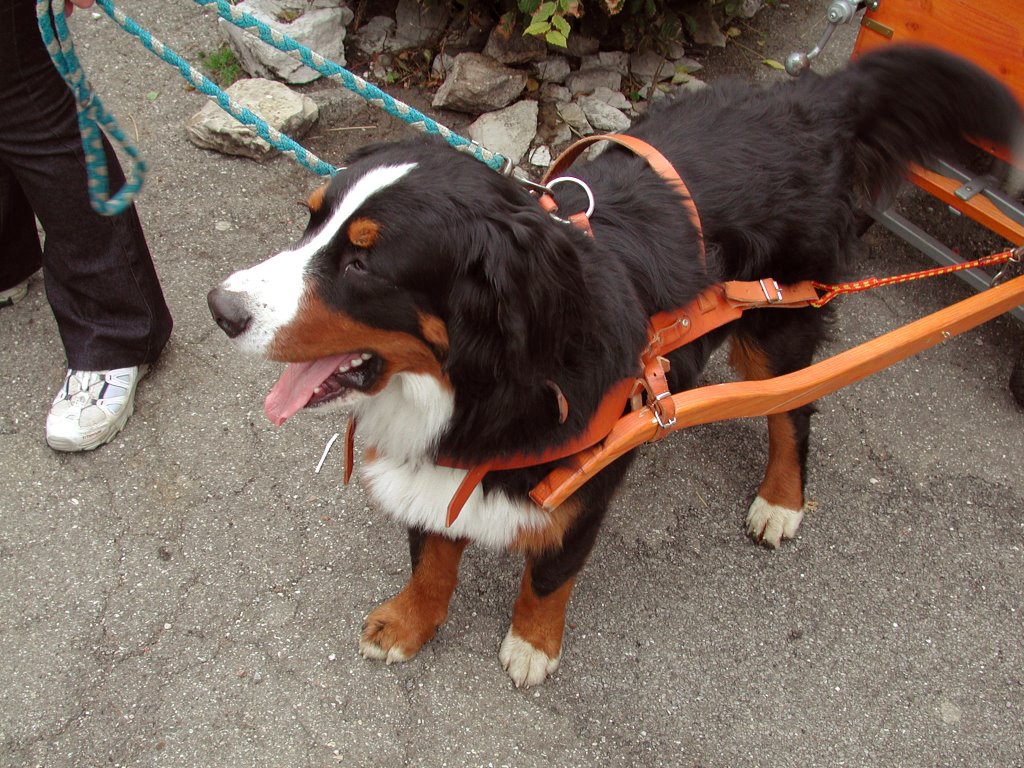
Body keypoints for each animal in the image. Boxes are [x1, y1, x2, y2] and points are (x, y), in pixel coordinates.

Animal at [205, 45, 1015, 688]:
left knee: (793, 411)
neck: (477, 382)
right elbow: (431, 554)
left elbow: (548, 576)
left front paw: (532, 646)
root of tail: (809, 98)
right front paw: (409, 621)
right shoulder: (440, 467)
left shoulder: (581, 487)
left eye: (364, 262)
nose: (221, 308)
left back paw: (782, 500)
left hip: (778, 320)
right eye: (311, 219)